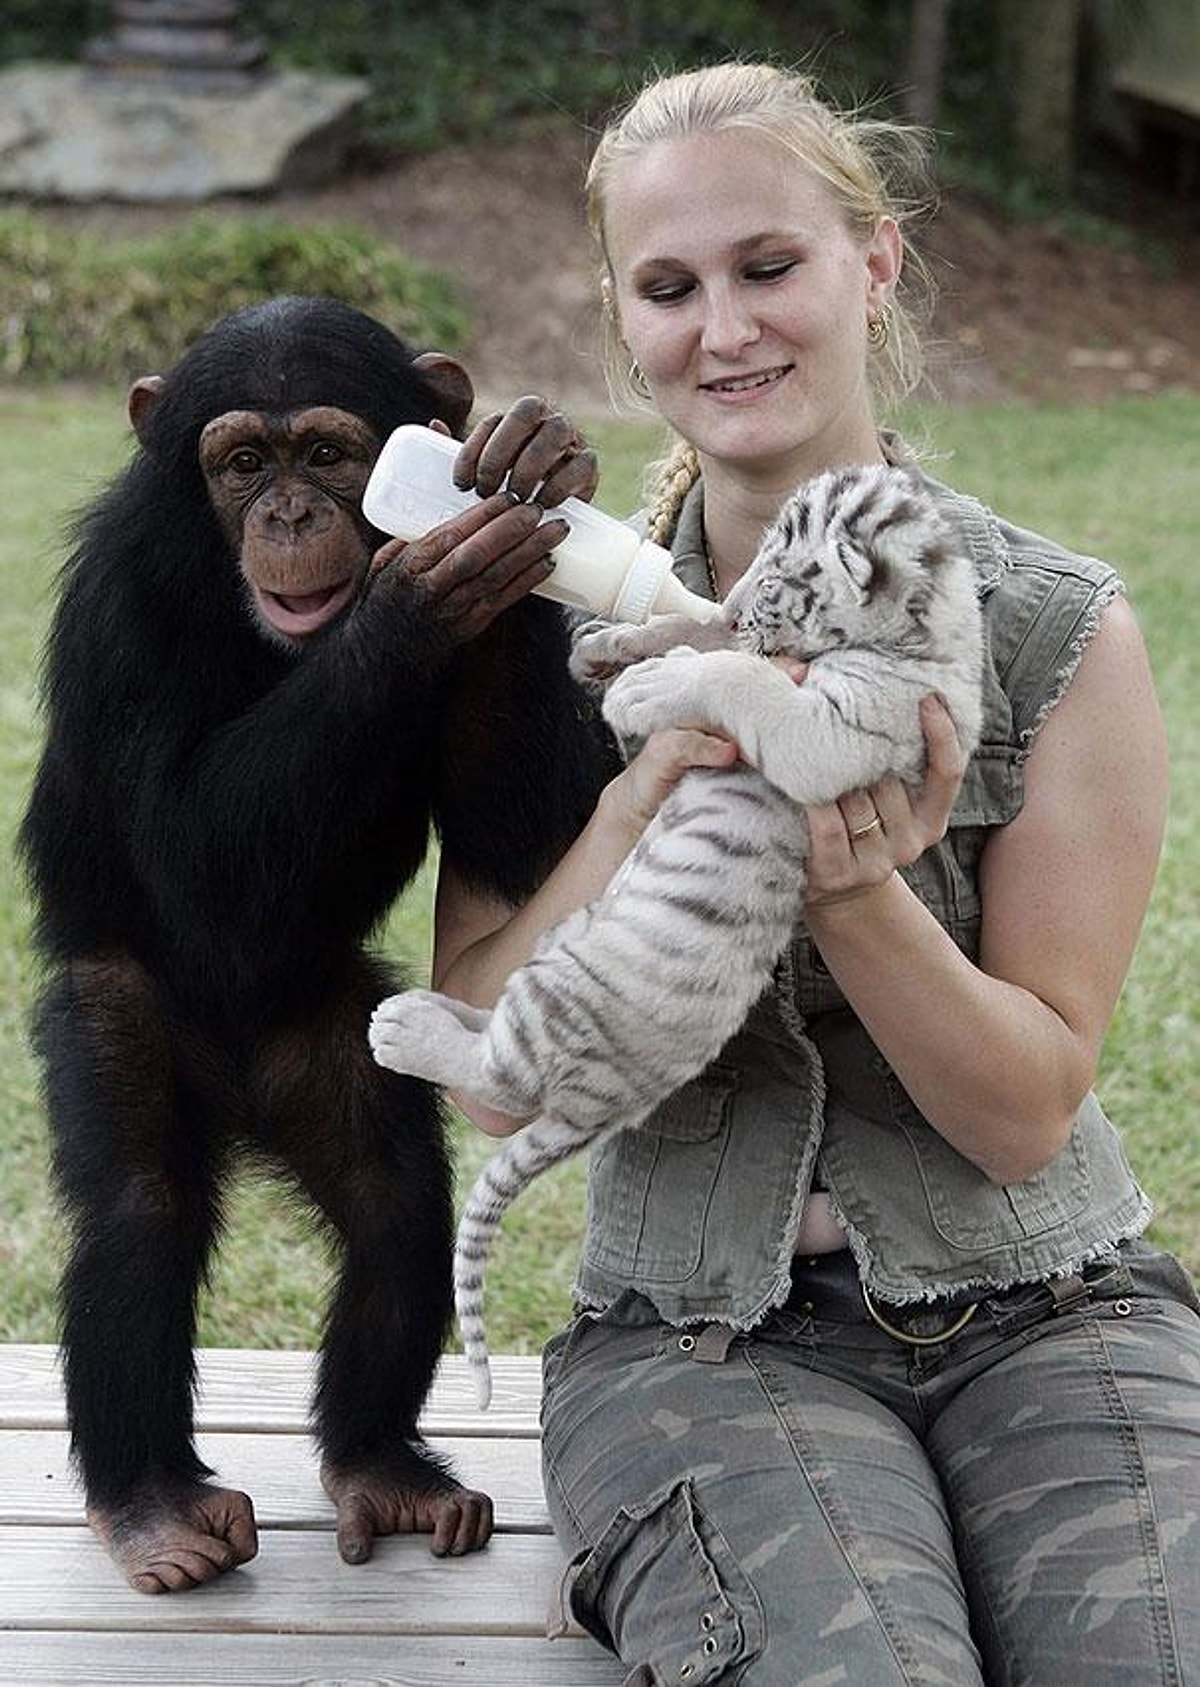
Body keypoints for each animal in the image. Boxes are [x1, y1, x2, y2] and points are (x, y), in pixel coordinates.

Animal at [18, 293, 614, 1592]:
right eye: (243, 463)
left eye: (329, 453)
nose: (289, 515)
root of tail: (240, 1095)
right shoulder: (118, 608)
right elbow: (193, 848)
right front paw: (421, 593)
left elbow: (529, 847)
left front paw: (526, 470)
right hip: (123, 1010)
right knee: (138, 1205)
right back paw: (154, 1504)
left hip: (326, 1037)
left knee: (397, 1205)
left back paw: (379, 1463)